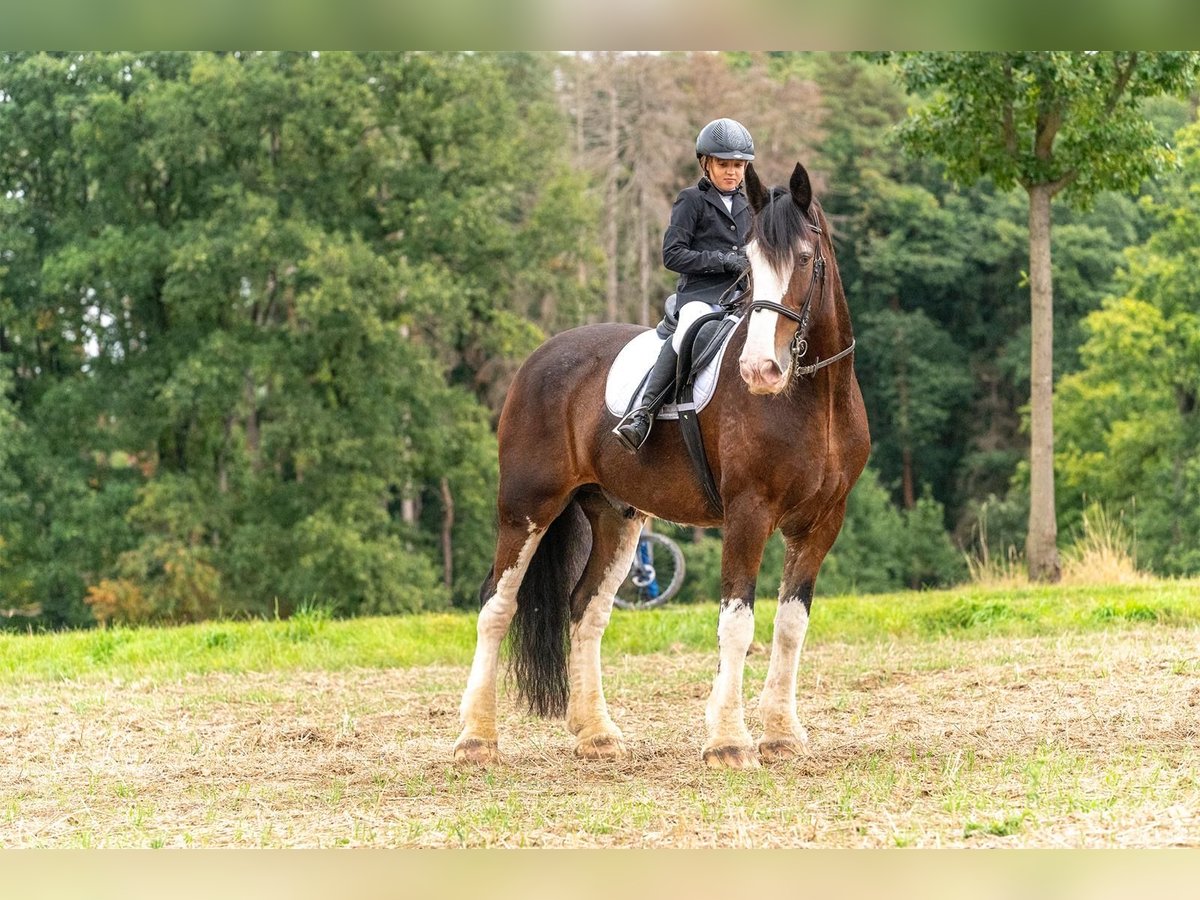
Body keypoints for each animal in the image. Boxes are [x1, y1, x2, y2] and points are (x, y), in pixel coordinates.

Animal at [453, 160, 868, 768]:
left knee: (586, 608)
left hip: (616, 518)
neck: (813, 396)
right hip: (527, 509)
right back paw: (477, 739)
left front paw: (782, 734)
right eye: (748, 264)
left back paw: (596, 733)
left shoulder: (820, 523)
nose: (760, 370)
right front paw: (728, 741)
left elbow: (791, 624)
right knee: (496, 605)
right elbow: (737, 624)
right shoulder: (748, 514)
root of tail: (540, 357)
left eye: (805, 259)